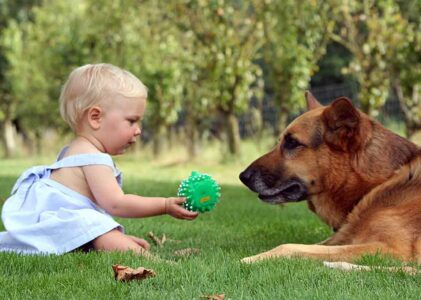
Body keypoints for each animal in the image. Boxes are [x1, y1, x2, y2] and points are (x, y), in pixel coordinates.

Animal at [240, 92, 420, 264]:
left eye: (292, 142)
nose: (243, 177)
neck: (379, 183)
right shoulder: (339, 239)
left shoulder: (390, 249)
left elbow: (288, 246)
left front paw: (250, 259)